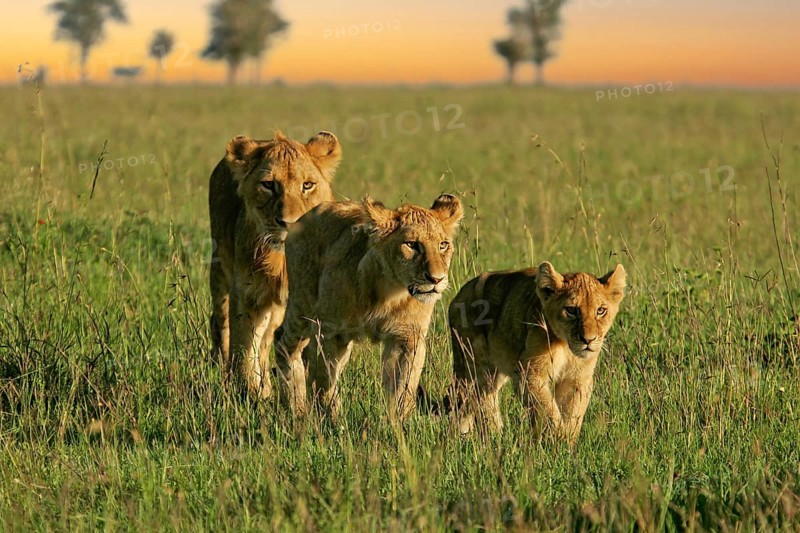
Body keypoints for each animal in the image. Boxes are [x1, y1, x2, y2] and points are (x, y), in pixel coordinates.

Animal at [208, 131, 342, 399]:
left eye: (307, 185)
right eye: (268, 185)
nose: (288, 223)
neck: (281, 260)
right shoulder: (246, 295)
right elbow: (243, 349)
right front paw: (247, 394)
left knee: (266, 340)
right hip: (219, 273)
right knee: (222, 327)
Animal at [274, 194, 464, 421]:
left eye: (443, 245)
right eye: (411, 244)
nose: (436, 279)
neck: (389, 292)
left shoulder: (407, 337)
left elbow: (403, 385)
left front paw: (399, 423)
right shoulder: (330, 331)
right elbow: (325, 378)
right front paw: (330, 419)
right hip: (302, 306)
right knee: (283, 341)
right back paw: (296, 406)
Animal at [448, 261, 626, 443]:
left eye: (601, 310)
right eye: (571, 310)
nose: (588, 340)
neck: (566, 345)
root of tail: (459, 294)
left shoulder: (577, 379)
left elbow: (572, 413)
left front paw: (567, 442)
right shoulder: (529, 374)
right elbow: (547, 411)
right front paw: (558, 440)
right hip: (475, 365)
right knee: (474, 398)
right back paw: (489, 436)